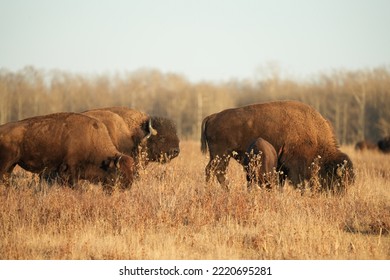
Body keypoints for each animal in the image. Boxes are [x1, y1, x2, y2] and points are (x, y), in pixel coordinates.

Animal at [0, 112, 136, 189]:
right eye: (120, 173)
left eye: (131, 171)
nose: (128, 186)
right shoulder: (70, 169)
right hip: (5, 164)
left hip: (11, 165)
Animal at [200, 100, 354, 192]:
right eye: (335, 177)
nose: (340, 194)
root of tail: (212, 117)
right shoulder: (293, 165)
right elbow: (298, 182)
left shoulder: (282, 167)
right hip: (221, 155)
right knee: (214, 171)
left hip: (220, 156)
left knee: (215, 171)